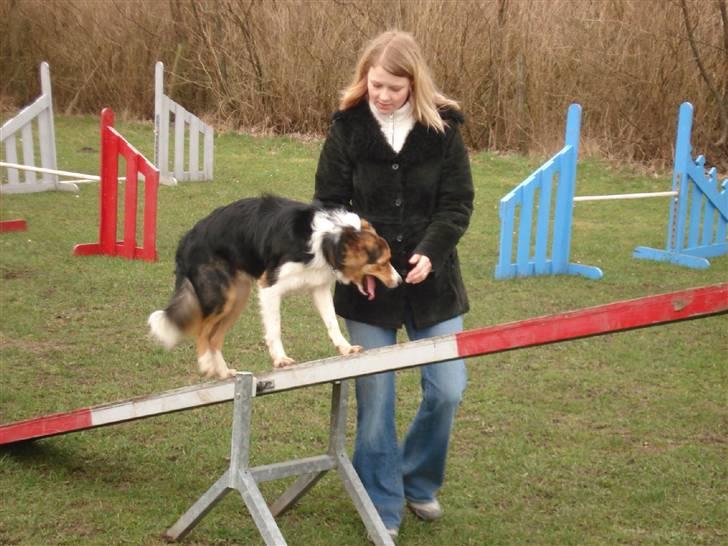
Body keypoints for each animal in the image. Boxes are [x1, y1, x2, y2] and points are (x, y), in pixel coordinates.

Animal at [146, 193, 400, 376]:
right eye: (383, 263)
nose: (398, 282)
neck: (330, 240)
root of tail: (187, 238)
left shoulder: (318, 287)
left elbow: (331, 323)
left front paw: (346, 348)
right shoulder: (270, 286)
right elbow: (275, 328)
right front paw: (280, 359)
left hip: (237, 298)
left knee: (214, 337)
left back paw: (224, 373)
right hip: (221, 295)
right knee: (203, 330)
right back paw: (207, 365)